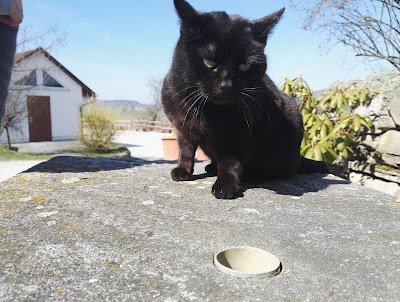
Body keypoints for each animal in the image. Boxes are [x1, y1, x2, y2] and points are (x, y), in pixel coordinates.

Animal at [162, 0, 328, 199]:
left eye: (244, 66)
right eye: (209, 63)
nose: (226, 85)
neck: (210, 111)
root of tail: (298, 158)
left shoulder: (242, 135)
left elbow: (231, 161)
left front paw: (225, 185)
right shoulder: (183, 127)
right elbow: (186, 148)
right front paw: (183, 170)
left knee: (278, 171)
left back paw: (250, 175)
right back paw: (211, 167)